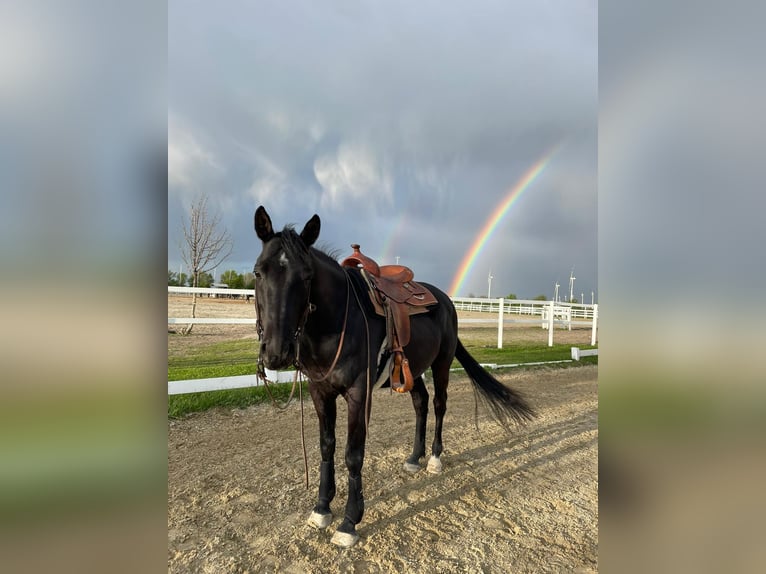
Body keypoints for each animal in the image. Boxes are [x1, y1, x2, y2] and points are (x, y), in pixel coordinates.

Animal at [253, 206, 535, 548]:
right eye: (258, 272)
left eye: (306, 276)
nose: (276, 352)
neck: (337, 321)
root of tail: (446, 300)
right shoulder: (321, 392)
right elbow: (326, 447)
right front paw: (321, 508)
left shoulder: (359, 394)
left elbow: (353, 454)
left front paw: (349, 522)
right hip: (414, 370)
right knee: (421, 403)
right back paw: (414, 457)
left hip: (441, 364)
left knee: (439, 405)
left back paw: (434, 458)